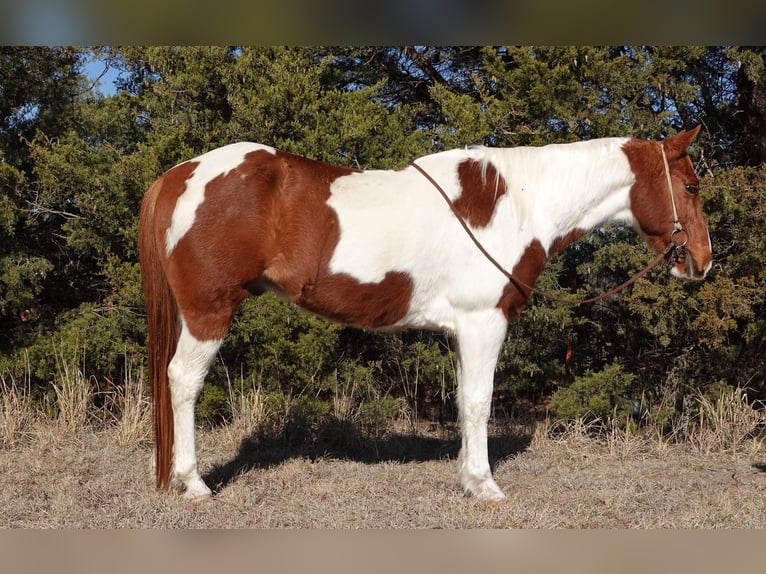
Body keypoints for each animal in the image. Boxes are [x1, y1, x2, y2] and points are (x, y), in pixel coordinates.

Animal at [138, 126, 712, 502]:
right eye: (691, 186)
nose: (702, 262)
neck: (517, 203)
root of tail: (179, 175)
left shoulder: (463, 329)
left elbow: (461, 400)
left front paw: (466, 477)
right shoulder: (485, 321)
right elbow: (479, 402)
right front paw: (484, 485)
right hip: (207, 311)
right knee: (182, 380)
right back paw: (194, 484)